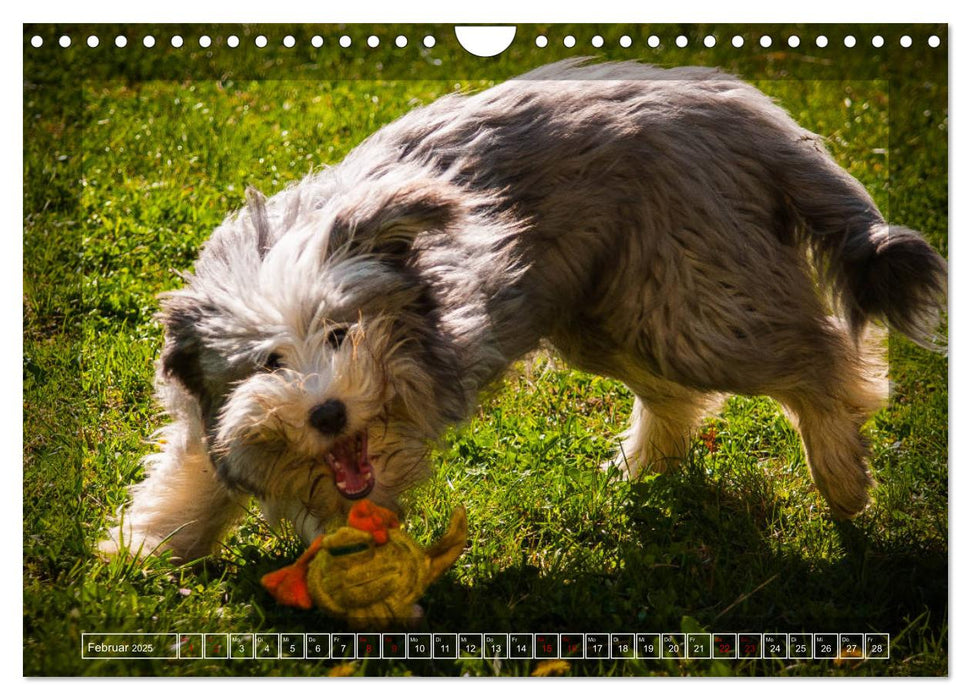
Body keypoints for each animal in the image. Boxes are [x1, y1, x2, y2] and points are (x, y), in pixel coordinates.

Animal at [102, 61, 944, 564]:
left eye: (340, 334)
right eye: (269, 360)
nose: (329, 413)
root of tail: (739, 105)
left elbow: (362, 490)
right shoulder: (208, 414)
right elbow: (194, 471)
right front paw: (144, 550)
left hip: (694, 305)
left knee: (822, 360)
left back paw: (841, 476)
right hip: (608, 309)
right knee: (676, 395)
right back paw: (639, 467)